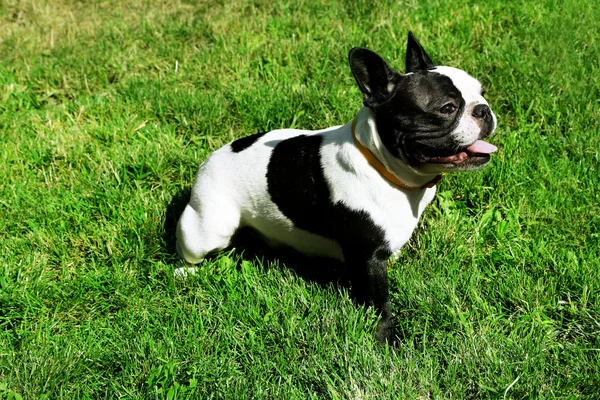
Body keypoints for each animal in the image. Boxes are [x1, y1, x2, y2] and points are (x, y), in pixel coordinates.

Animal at [173, 32, 496, 342]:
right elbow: (380, 304)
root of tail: (210, 159)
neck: (384, 166)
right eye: (447, 108)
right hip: (209, 229)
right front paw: (386, 339)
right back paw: (183, 272)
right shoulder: (368, 260)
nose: (484, 110)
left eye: (482, 93)